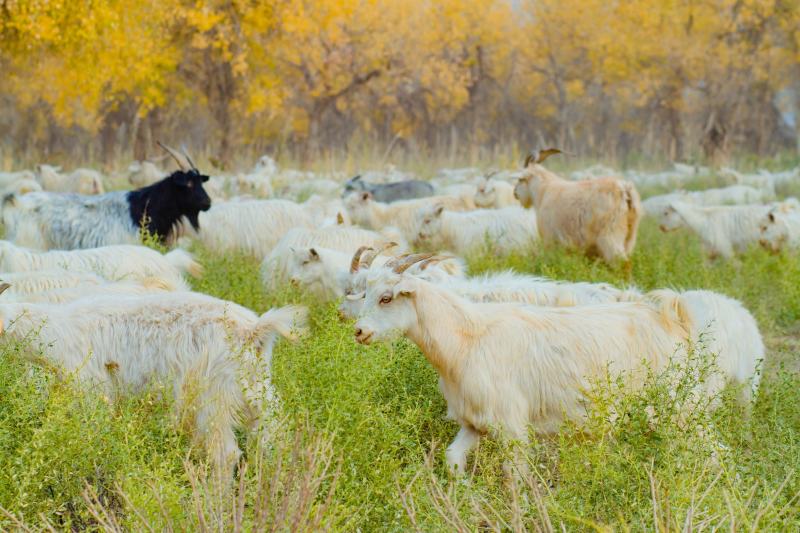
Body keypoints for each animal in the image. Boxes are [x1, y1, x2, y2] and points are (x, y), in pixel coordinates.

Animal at [0, 290, 306, 474]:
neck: (58, 331)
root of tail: (254, 331)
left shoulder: (92, 391)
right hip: (257, 391)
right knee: (273, 444)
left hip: (213, 396)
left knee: (225, 454)